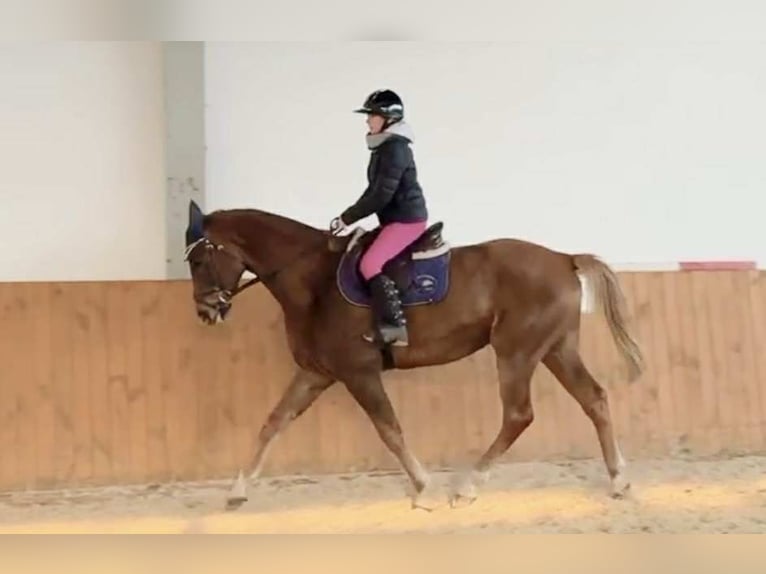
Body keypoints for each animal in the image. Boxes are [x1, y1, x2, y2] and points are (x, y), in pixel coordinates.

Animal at [182, 199, 645, 511]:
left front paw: (424, 488)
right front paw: (237, 490)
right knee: (594, 399)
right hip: (555, 349)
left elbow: (389, 430)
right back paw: (619, 481)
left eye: (201, 259)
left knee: (519, 415)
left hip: (517, 352)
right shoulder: (317, 373)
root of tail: (564, 259)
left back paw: (468, 487)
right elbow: (273, 422)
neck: (314, 281)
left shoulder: (359, 372)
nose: (205, 312)